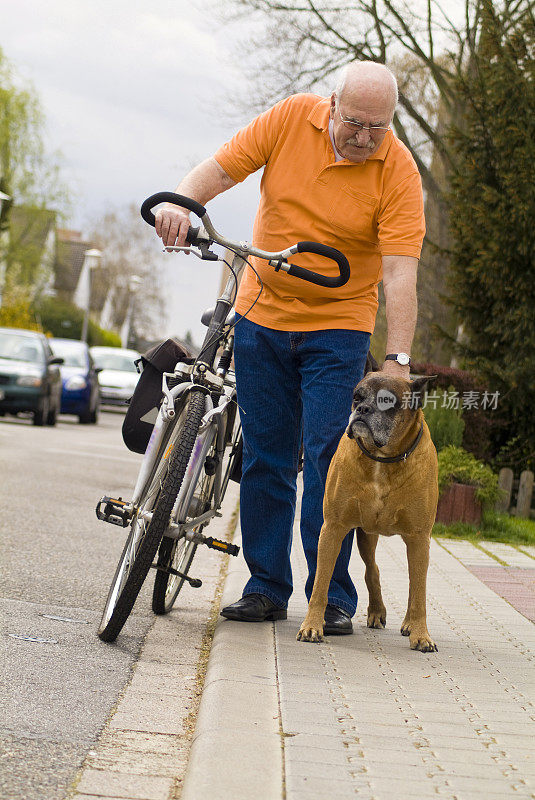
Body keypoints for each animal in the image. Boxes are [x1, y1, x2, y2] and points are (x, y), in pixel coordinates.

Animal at [298, 366, 440, 652]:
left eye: (386, 401)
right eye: (356, 397)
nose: (363, 409)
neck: (383, 460)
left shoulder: (420, 538)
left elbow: (419, 593)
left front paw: (421, 634)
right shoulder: (333, 528)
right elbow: (321, 584)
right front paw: (312, 625)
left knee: (414, 583)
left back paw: (409, 623)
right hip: (366, 536)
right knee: (372, 570)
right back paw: (376, 611)